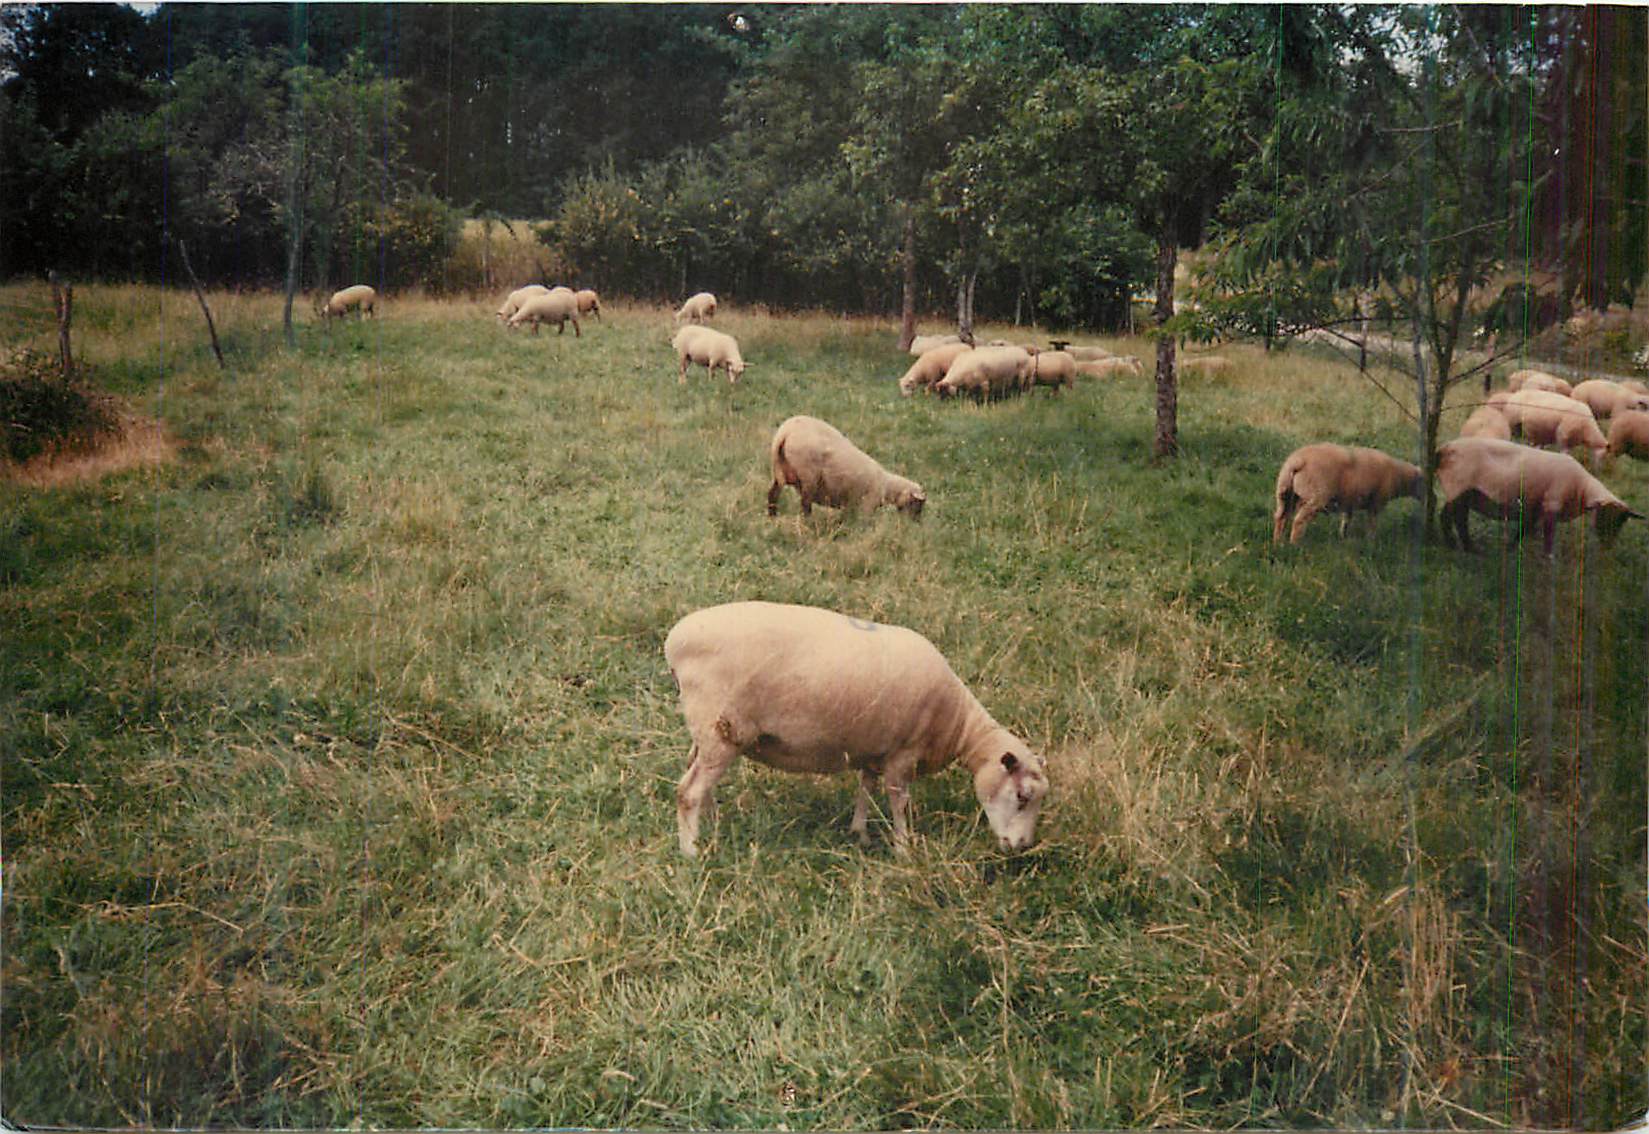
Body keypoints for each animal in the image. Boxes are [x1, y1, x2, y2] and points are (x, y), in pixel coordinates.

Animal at [664, 601, 1049, 856]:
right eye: (1022, 796)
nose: (1021, 846)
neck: (956, 724)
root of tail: (674, 642)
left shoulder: (875, 749)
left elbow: (865, 788)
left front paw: (859, 833)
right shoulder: (903, 754)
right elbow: (898, 802)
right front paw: (904, 848)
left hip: (710, 732)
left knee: (696, 774)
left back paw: (711, 824)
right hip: (722, 729)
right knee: (688, 792)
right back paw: (691, 851)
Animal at [767, 415, 925, 518]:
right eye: (917, 504)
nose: (914, 523)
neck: (888, 486)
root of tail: (785, 432)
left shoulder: (851, 505)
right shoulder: (867, 504)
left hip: (780, 470)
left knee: (772, 494)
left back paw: (772, 516)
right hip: (808, 476)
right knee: (805, 504)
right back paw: (808, 522)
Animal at [1271, 442, 1424, 544]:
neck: (1399, 476)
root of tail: (1298, 461)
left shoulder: (1349, 501)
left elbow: (1346, 519)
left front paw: (1343, 537)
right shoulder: (1376, 502)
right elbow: (1372, 523)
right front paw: (1371, 540)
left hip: (1285, 493)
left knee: (1281, 517)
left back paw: (1278, 542)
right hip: (1315, 497)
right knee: (1298, 521)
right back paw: (1294, 544)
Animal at [1437, 436, 1640, 555]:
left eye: (1621, 521)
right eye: (1602, 516)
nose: (1607, 546)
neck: (1581, 487)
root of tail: (1445, 448)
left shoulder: (1534, 508)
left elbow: (1523, 530)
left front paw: (1511, 549)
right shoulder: (1551, 506)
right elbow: (1548, 537)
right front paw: (1548, 558)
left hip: (1464, 493)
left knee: (1452, 516)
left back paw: (1460, 545)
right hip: (1459, 487)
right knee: (1453, 517)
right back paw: (1461, 546)